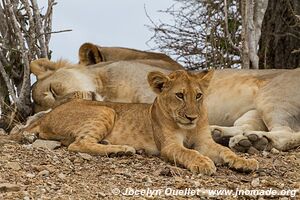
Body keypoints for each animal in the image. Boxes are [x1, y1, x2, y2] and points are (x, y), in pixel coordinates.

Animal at [19, 70, 258, 175]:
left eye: (198, 96)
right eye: (180, 95)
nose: (192, 117)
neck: (188, 127)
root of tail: (49, 114)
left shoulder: (205, 142)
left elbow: (225, 151)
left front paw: (244, 162)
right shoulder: (169, 146)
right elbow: (188, 152)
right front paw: (203, 163)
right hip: (106, 110)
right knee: (77, 144)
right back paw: (121, 150)